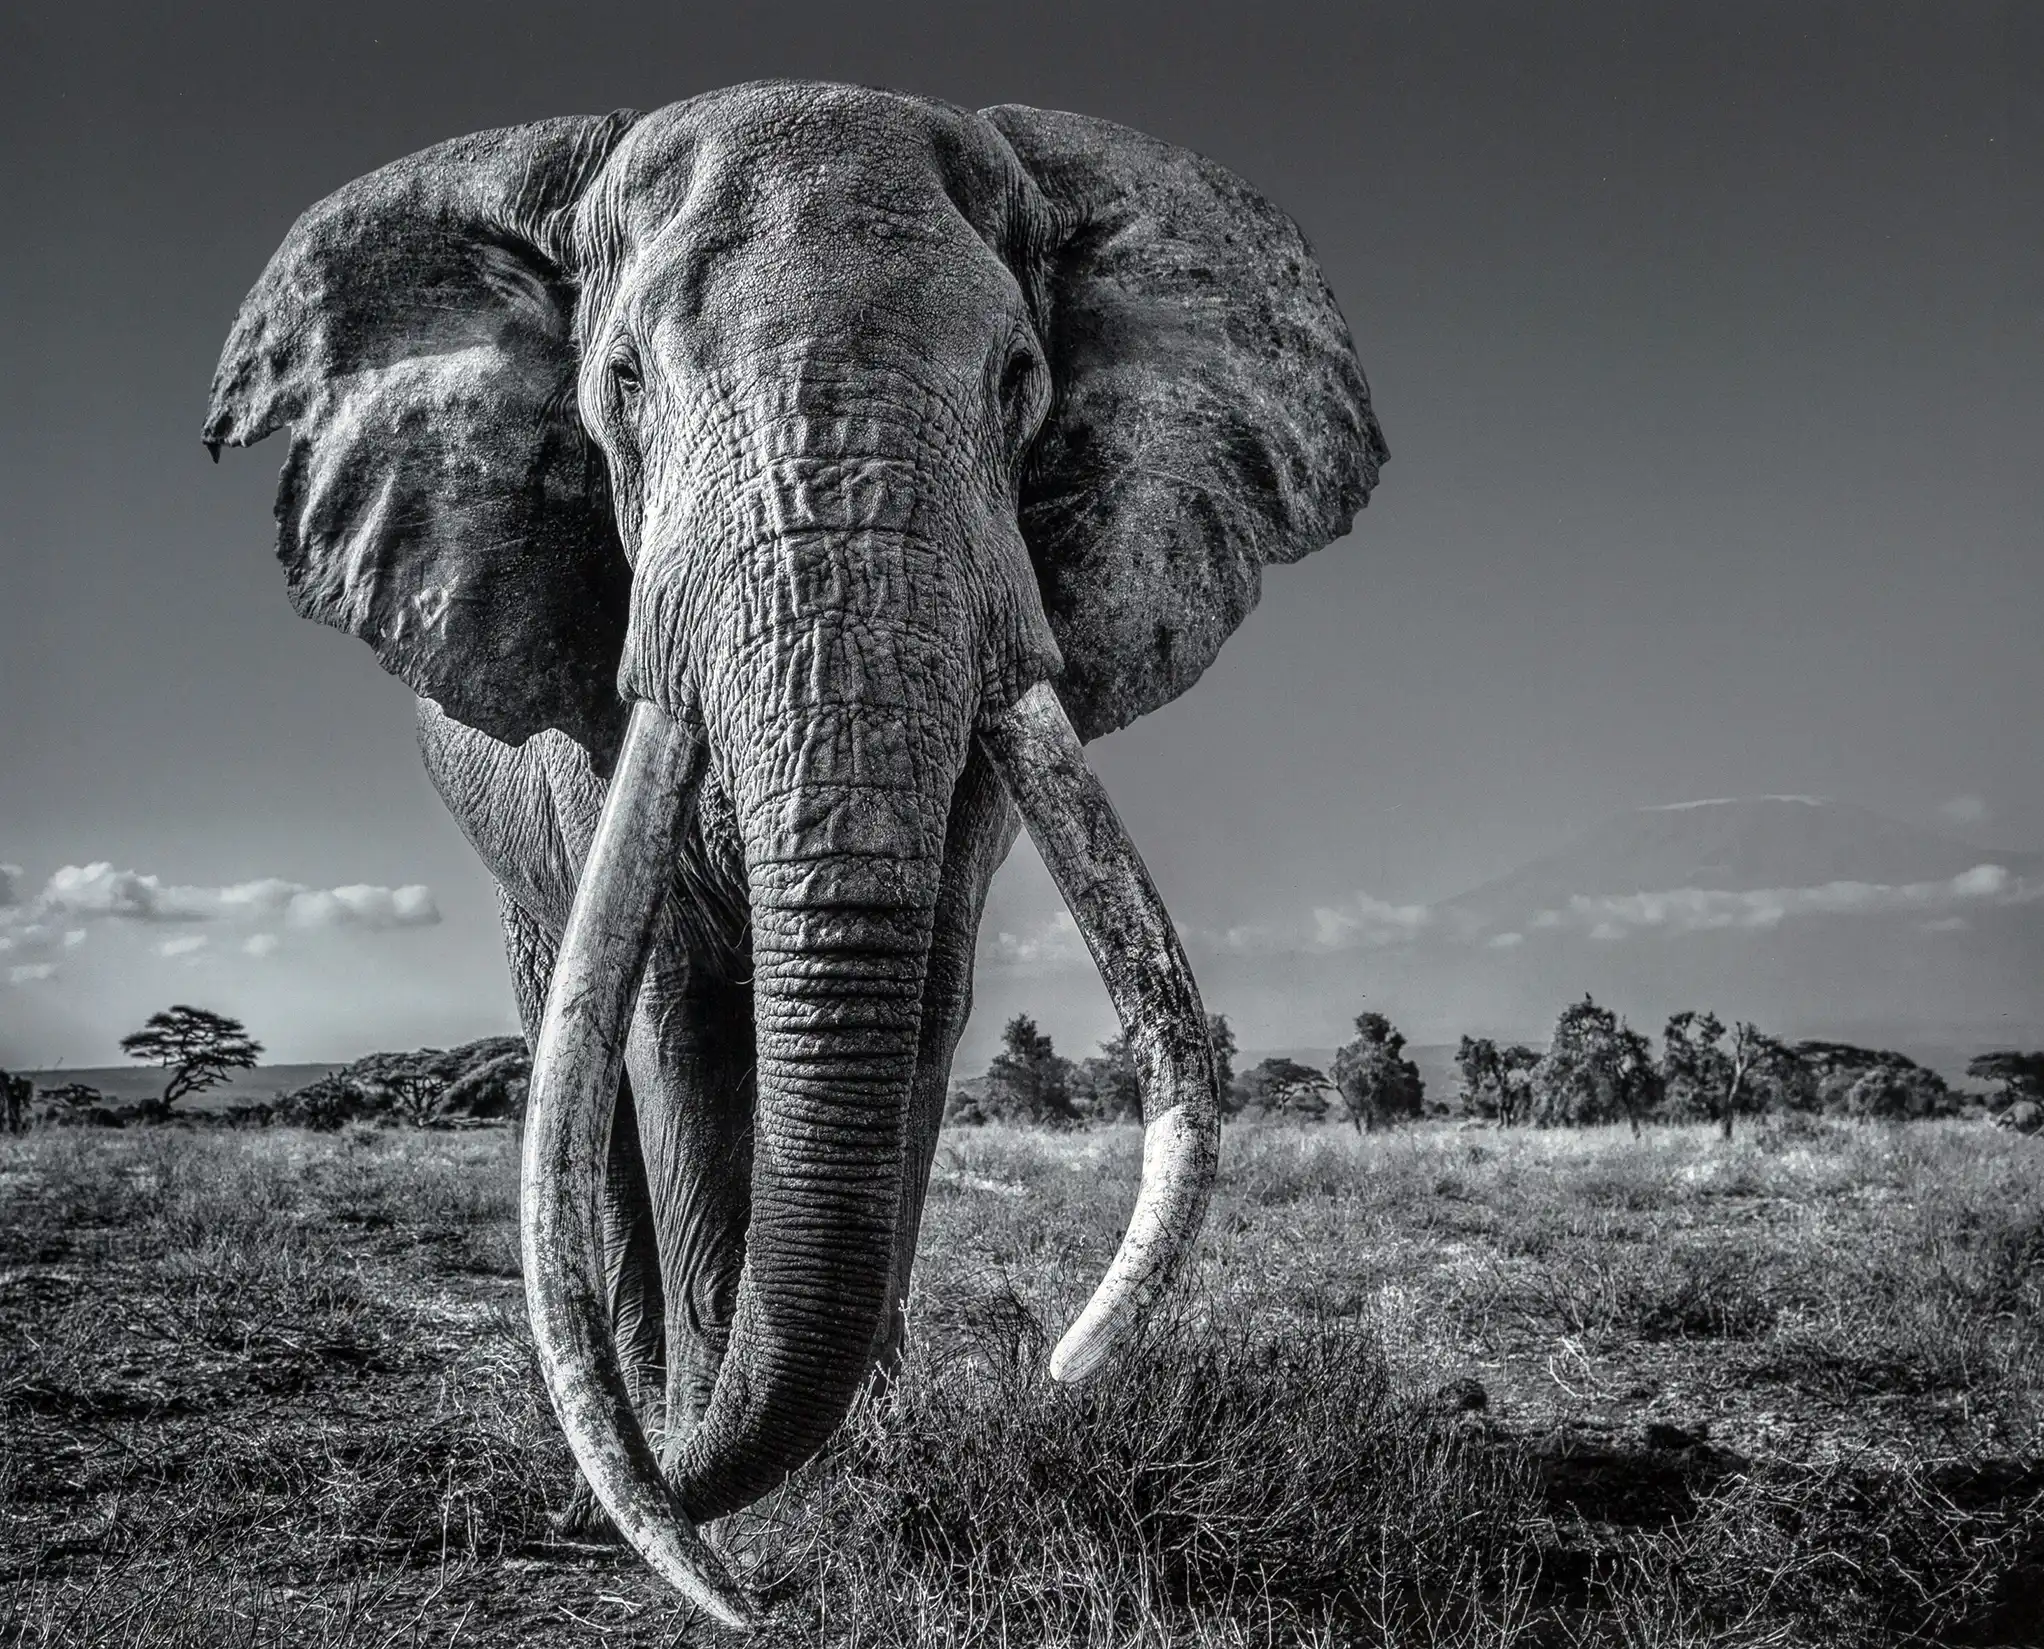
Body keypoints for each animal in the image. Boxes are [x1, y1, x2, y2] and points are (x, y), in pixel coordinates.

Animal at [205, 80, 1384, 1627]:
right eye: (623, 382)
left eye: (1020, 378)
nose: (1063, 1365)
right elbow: (673, 1012)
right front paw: (730, 1473)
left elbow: (925, 1003)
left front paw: (859, 1457)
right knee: (575, 1053)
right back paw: (649, 1404)